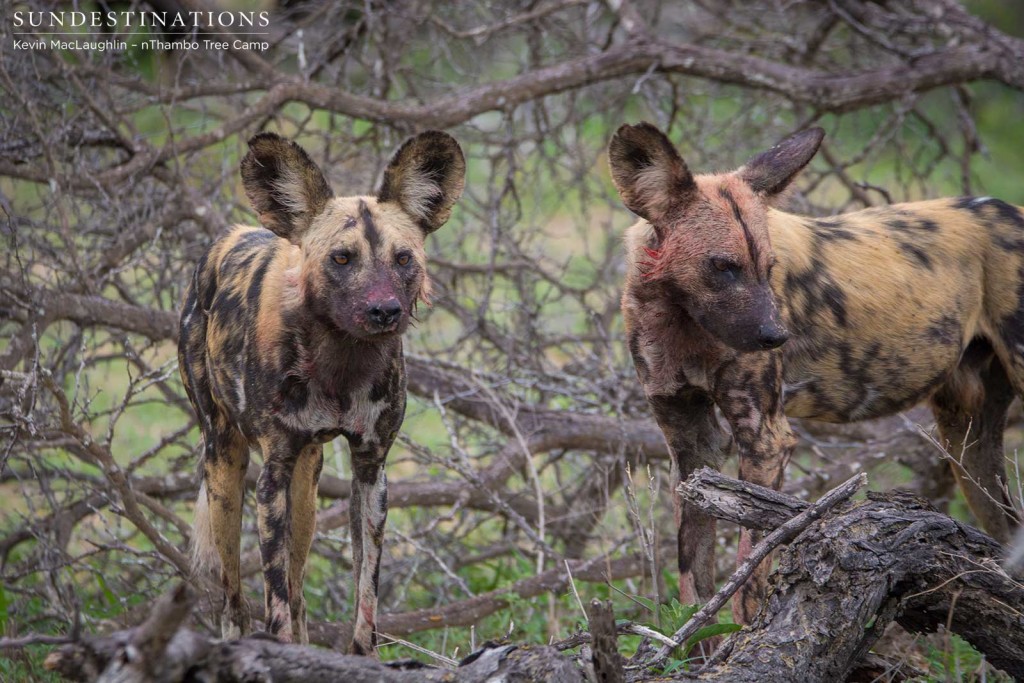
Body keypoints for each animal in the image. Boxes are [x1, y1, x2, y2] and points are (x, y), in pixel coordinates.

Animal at [181, 131, 468, 655]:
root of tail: (234, 233)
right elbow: (272, 598)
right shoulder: (271, 477)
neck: (341, 363)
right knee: (235, 598)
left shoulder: (371, 472)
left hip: (307, 491)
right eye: (342, 258)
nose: (385, 311)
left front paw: (360, 657)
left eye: (403, 259)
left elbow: (364, 594)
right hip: (225, 472)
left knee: (298, 591)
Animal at [610, 121, 1019, 626]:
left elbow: (748, 579)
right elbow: (695, 586)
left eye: (768, 268)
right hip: (968, 445)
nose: (775, 336)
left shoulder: (765, 440)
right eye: (722, 267)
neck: (679, 319)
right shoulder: (691, 446)